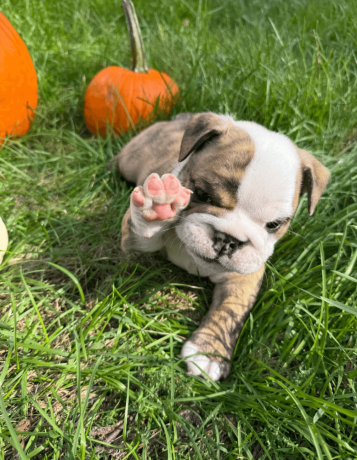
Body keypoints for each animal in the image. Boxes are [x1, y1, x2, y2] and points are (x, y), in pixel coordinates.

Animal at [113, 112, 328, 380]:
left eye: (275, 225)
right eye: (203, 194)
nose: (228, 239)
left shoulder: (245, 276)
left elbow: (230, 311)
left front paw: (209, 352)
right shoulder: (133, 242)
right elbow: (143, 235)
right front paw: (157, 207)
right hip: (130, 160)